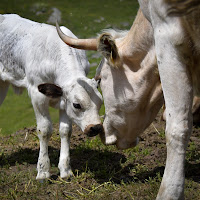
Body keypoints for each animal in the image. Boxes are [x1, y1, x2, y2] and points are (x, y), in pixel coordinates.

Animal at [0, 14, 103, 180]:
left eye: (100, 103)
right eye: (77, 105)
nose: (96, 127)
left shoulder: (63, 102)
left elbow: (66, 130)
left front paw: (66, 170)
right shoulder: (37, 95)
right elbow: (45, 129)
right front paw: (43, 171)